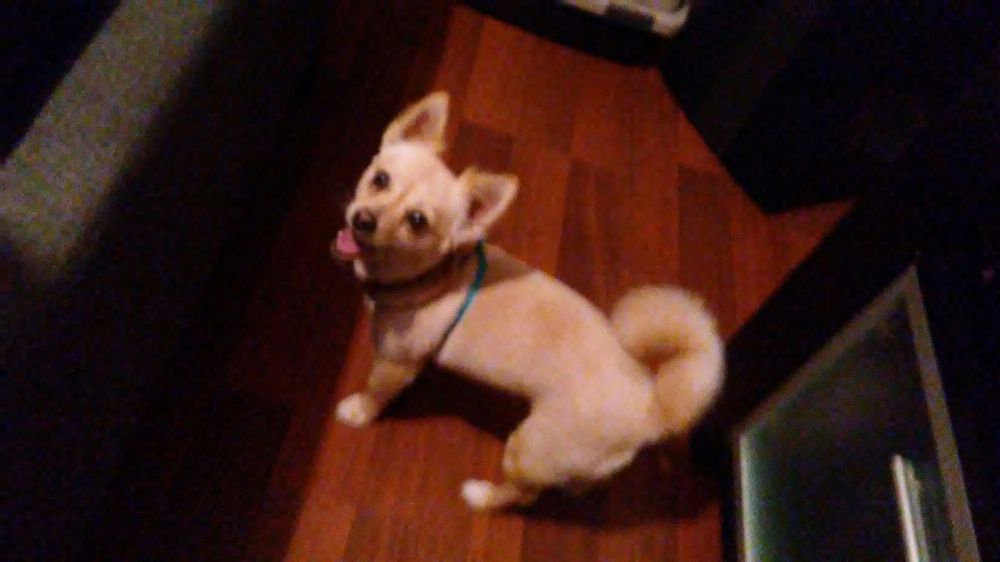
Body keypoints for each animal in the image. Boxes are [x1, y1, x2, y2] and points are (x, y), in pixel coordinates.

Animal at [331, 91, 724, 511]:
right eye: (380, 179)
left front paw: (358, 412)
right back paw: (576, 488)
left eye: (417, 221)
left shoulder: (396, 364)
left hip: (530, 447)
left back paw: (482, 495)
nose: (364, 219)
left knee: (524, 493)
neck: (437, 272)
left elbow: (375, 392)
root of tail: (652, 409)